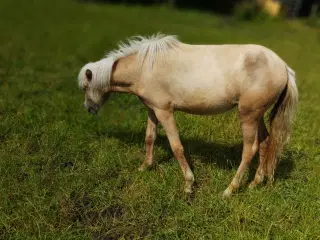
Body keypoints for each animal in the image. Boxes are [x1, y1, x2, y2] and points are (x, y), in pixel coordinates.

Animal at [77, 34, 298, 199]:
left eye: (86, 87)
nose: (89, 108)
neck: (144, 67)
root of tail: (283, 66)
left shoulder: (165, 112)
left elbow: (177, 147)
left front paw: (188, 184)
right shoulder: (152, 110)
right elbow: (150, 137)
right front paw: (145, 167)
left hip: (248, 116)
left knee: (249, 150)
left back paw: (230, 190)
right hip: (257, 115)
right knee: (265, 143)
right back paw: (255, 183)